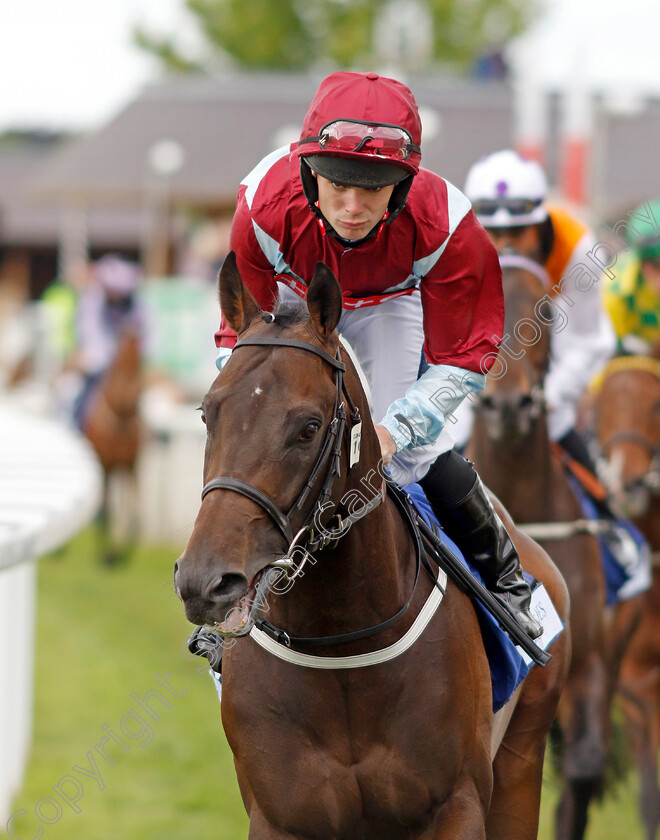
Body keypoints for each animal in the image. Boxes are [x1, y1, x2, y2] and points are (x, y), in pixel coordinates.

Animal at [173, 254, 568, 840]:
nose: (205, 581)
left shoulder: (457, 805)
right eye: (207, 414)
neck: (342, 646)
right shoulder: (279, 817)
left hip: (522, 760)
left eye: (308, 427)